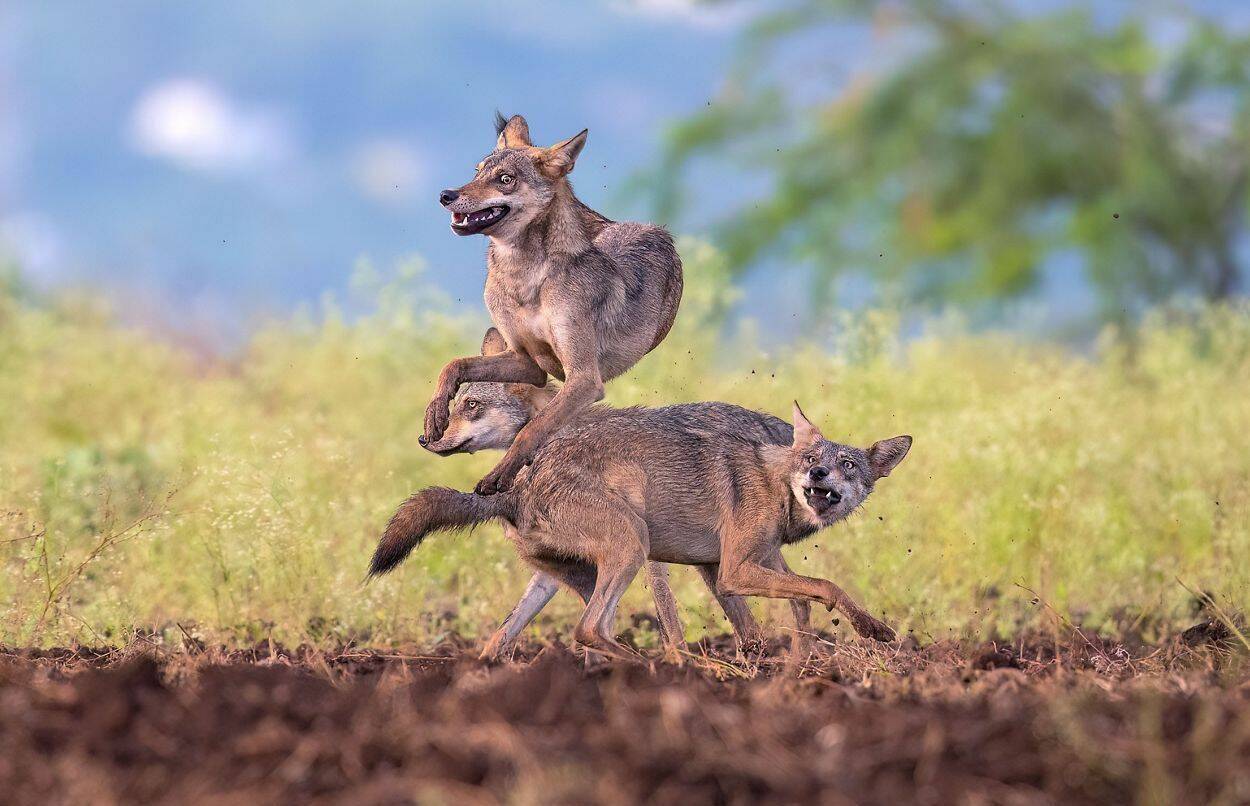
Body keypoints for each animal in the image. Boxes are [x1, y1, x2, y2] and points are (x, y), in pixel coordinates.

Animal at [370, 392, 910, 659]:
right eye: (813, 459)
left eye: (848, 466)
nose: (818, 476)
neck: (773, 478)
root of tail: (517, 491)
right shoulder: (731, 569)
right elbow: (825, 586)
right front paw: (873, 630)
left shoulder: (726, 568)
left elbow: (790, 609)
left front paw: (792, 660)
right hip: (632, 546)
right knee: (589, 629)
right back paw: (662, 667)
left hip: (577, 572)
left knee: (505, 640)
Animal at [422, 109, 680, 492]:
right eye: (477, 171)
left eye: (505, 179)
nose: (446, 194)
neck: (524, 282)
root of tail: (640, 225)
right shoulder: (526, 361)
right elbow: (454, 364)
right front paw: (435, 413)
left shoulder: (584, 379)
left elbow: (533, 428)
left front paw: (501, 473)